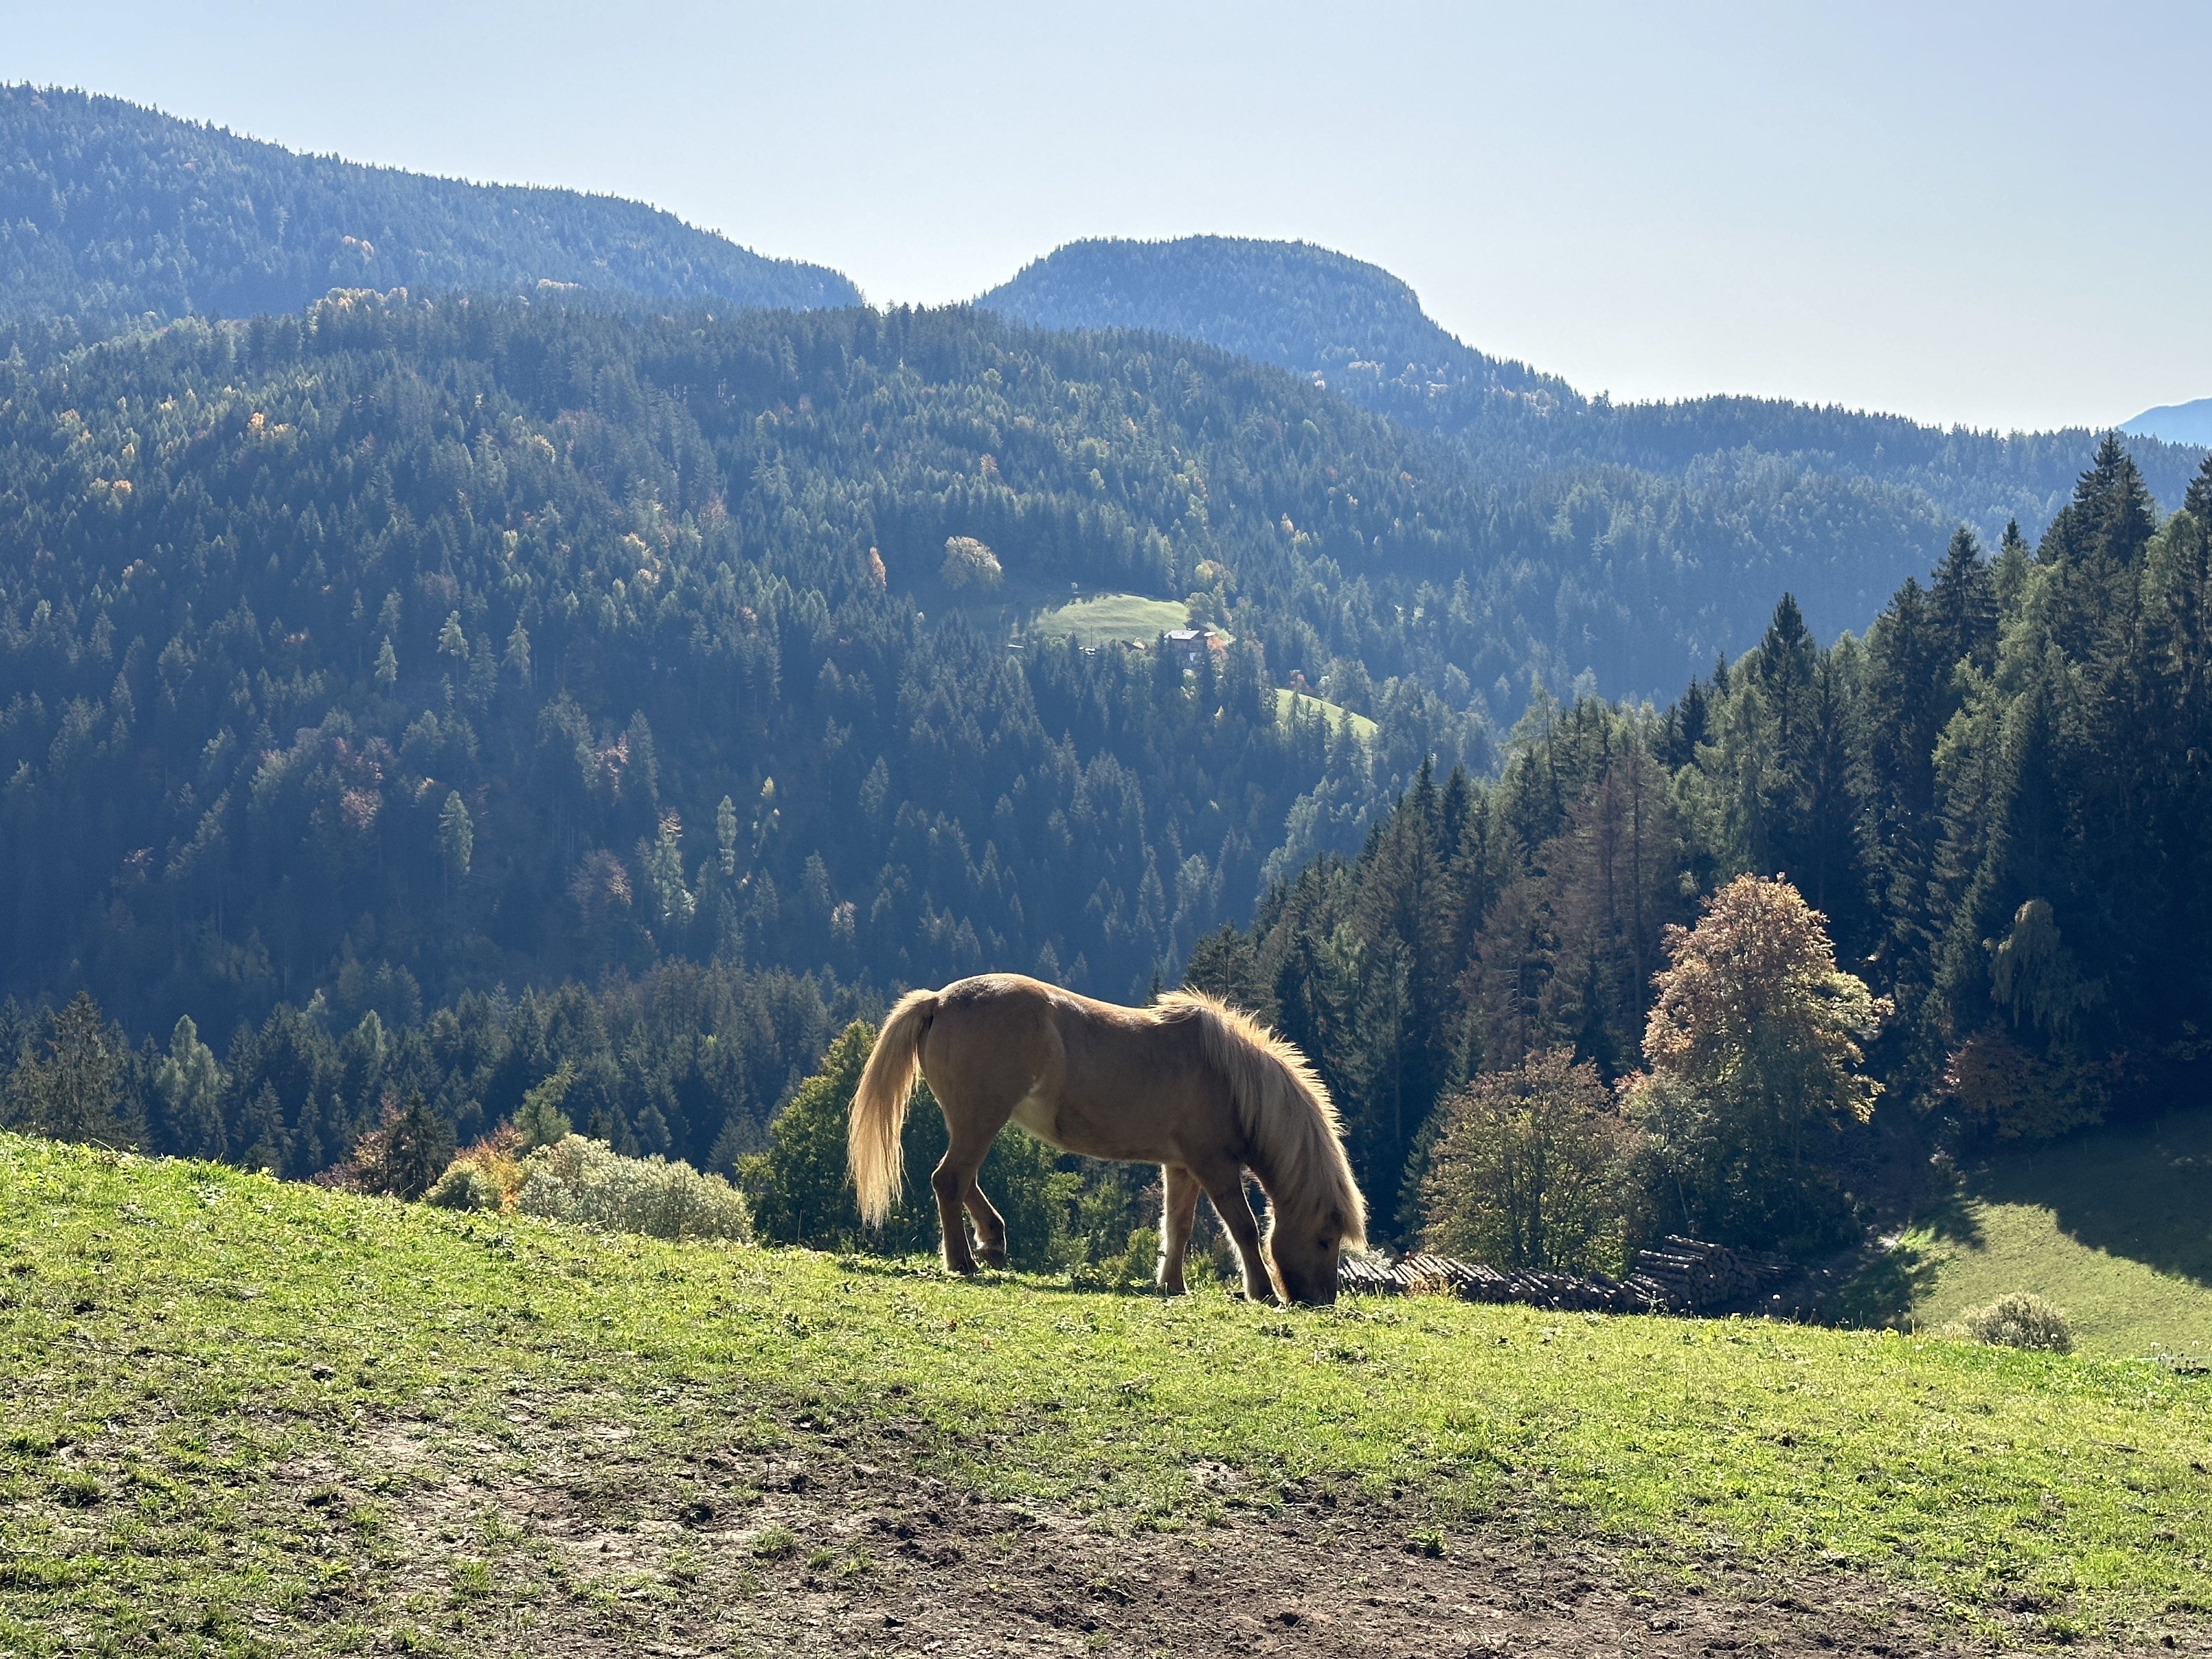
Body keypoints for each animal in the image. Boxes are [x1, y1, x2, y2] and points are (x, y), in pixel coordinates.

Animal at [847, 973, 1367, 1306]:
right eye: (1325, 1241)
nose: (1321, 1301)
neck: (1229, 1079)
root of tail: (938, 1001)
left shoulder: (1182, 1166)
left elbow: (1177, 1226)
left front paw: (1172, 1285)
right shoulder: (1214, 1165)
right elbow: (1243, 1226)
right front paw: (1262, 1291)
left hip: (975, 1122)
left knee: (961, 1179)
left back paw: (992, 1243)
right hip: (980, 1121)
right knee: (950, 1179)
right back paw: (963, 1262)